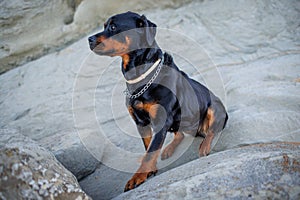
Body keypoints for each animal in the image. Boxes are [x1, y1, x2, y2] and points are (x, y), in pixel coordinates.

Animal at [88, 11, 229, 192]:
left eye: (113, 27)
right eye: (104, 25)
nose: (89, 39)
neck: (141, 77)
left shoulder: (161, 121)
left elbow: (151, 150)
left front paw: (137, 177)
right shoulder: (141, 122)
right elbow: (149, 147)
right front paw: (149, 170)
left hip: (215, 107)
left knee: (211, 131)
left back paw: (204, 146)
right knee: (179, 134)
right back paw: (169, 149)